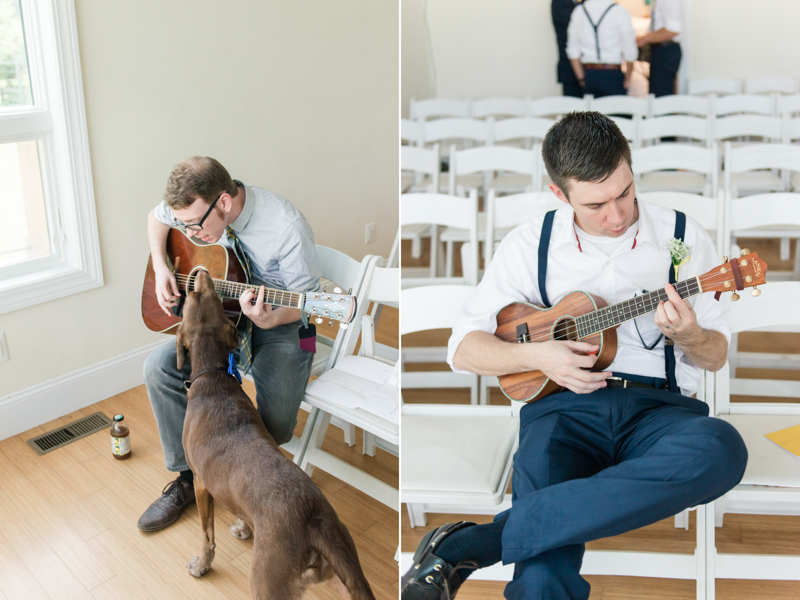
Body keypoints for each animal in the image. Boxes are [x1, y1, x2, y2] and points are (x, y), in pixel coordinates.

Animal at [175, 272, 376, 600]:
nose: (201, 275)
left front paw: (202, 564)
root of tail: (315, 522)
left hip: (267, 583)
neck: (213, 375)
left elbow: (207, 534)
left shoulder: (201, 482)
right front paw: (242, 526)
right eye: (211, 297)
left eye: (195, 297)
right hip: (343, 576)